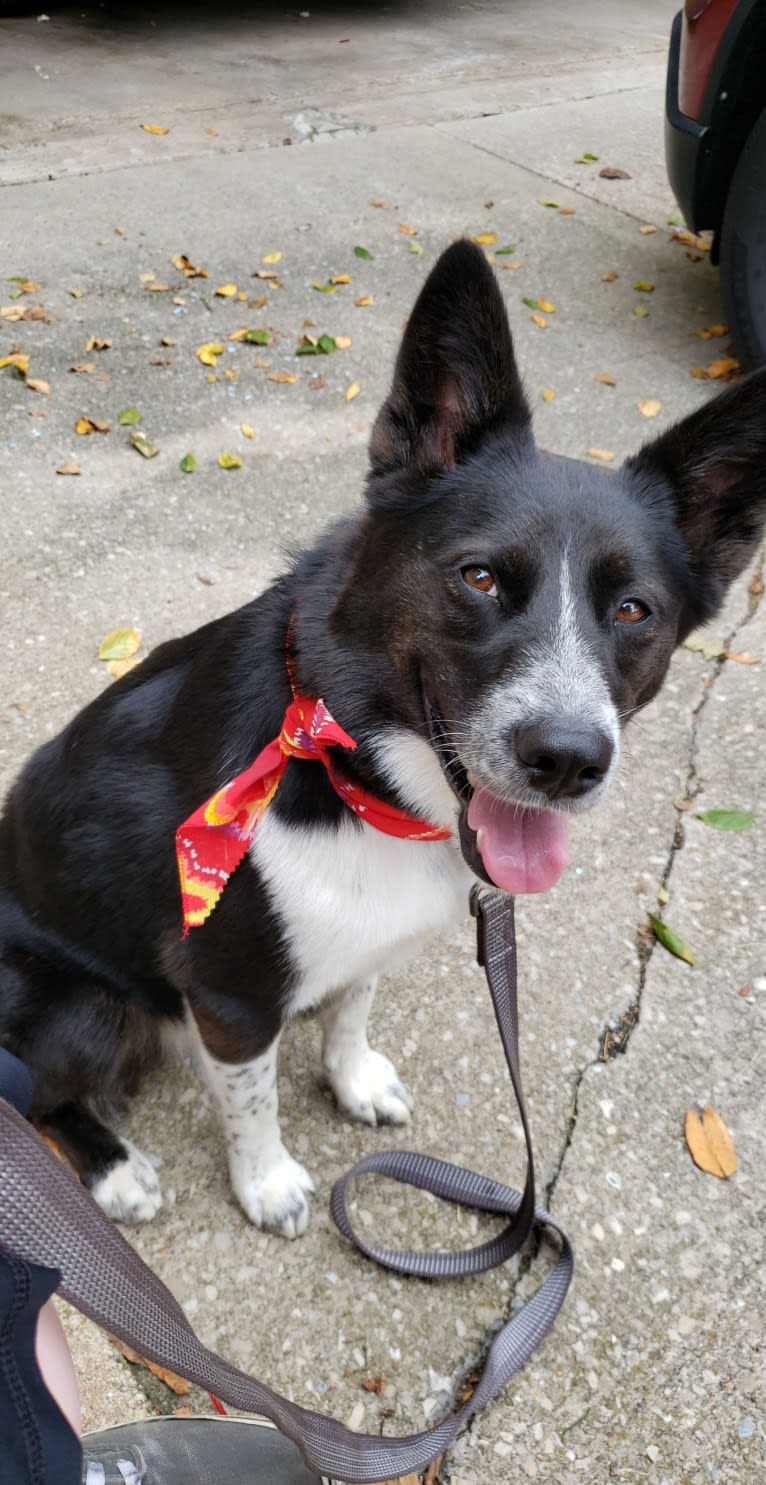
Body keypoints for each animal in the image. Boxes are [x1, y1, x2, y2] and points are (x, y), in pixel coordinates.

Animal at [1, 243, 766, 1235]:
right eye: (479, 577)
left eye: (635, 610)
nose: (566, 760)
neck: (355, 765)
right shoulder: (228, 993)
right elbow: (251, 1099)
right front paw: (267, 1181)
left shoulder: (364, 936)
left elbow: (352, 1006)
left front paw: (352, 1077)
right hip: (83, 1007)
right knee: (37, 1092)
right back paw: (114, 1168)